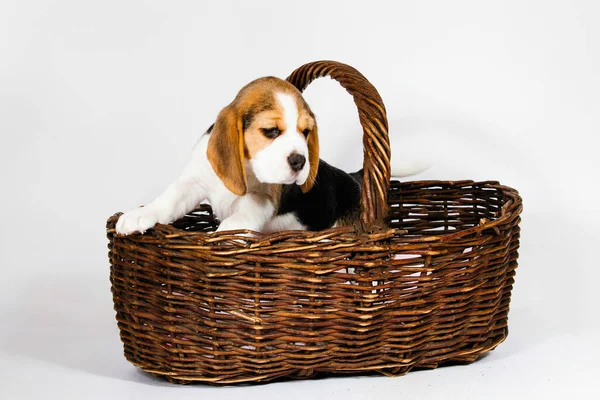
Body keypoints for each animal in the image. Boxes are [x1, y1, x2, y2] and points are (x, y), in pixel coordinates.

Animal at [116, 76, 426, 234]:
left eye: (306, 132)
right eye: (271, 131)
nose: (300, 161)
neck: (247, 166)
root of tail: (354, 177)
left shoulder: (265, 197)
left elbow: (243, 214)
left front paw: (225, 233)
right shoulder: (193, 181)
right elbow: (168, 200)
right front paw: (138, 215)